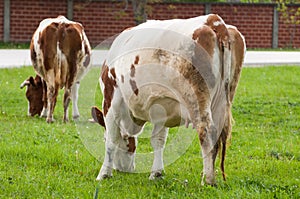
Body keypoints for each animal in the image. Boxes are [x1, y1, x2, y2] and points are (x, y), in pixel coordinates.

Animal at [92, 14, 245, 185]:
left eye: (103, 138)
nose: (123, 169)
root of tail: (213, 20)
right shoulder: (160, 108)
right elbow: (158, 140)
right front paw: (156, 173)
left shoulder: (111, 98)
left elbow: (112, 139)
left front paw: (104, 174)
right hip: (223, 99)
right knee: (217, 135)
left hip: (197, 97)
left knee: (206, 131)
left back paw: (208, 180)